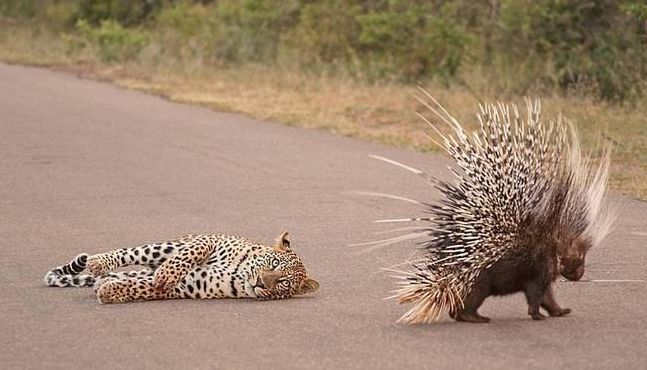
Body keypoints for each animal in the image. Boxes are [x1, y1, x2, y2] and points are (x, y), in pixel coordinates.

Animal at [44, 231, 320, 304]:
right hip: (166, 246)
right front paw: (167, 273)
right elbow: (188, 256)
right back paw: (98, 262)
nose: (261, 282)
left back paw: (105, 281)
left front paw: (110, 292)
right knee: (131, 253)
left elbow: (145, 288)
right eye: (274, 263)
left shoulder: (192, 285)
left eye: (284, 282)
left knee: (135, 274)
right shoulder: (210, 239)